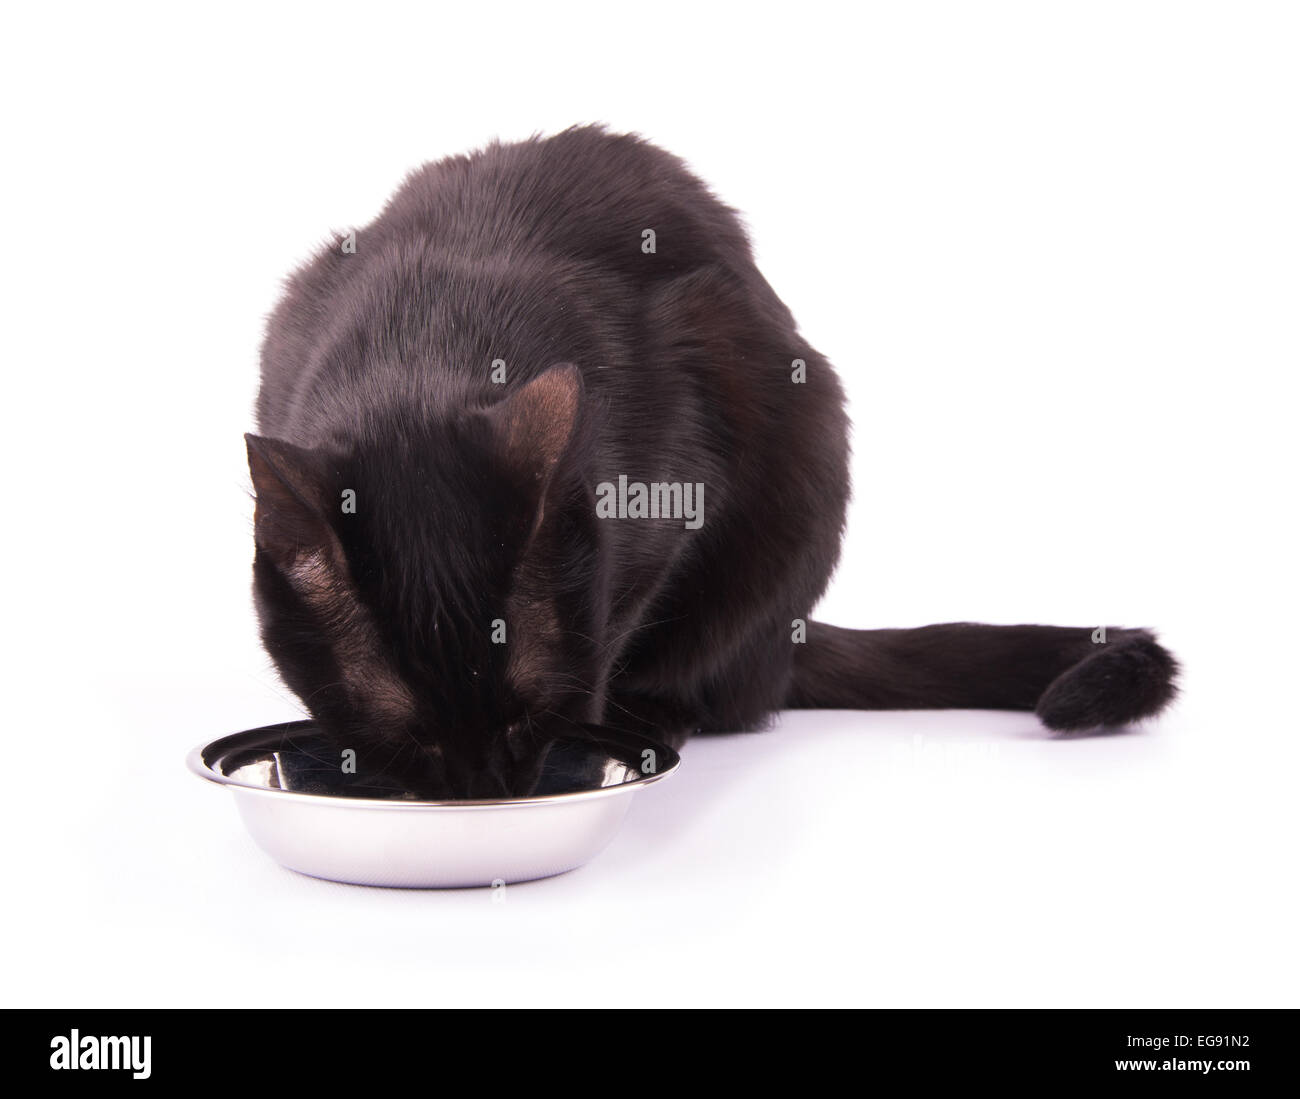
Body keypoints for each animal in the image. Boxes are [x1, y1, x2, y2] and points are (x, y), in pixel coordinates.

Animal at [245, 124, 1180, 790]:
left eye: (524, 714)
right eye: (411, 733)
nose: (486, 794)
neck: (425, 350)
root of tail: (788, 639)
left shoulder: (680, 474)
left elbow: (616, 623)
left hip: (803, 443)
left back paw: (658, 712)